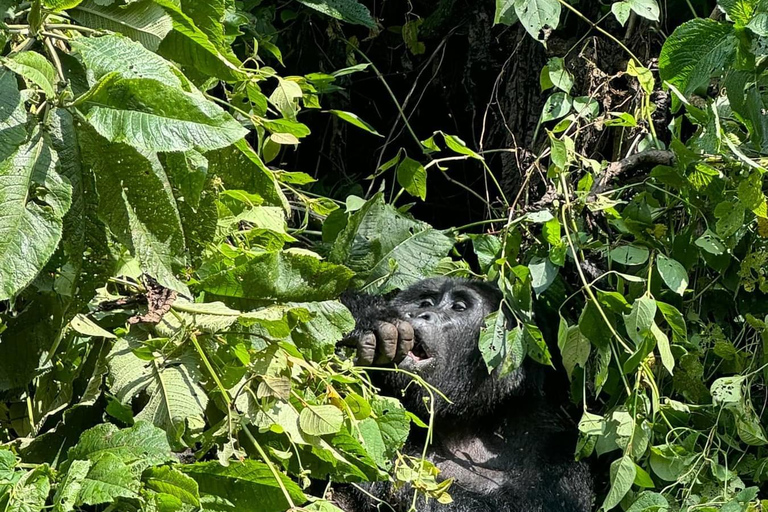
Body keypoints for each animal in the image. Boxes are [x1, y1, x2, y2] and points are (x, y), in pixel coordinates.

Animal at [332, 280, 592, 512]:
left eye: (458, 307)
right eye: (425, 302)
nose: (420, 313)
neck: (475, 422)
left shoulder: (559, 455)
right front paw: (370, 317)